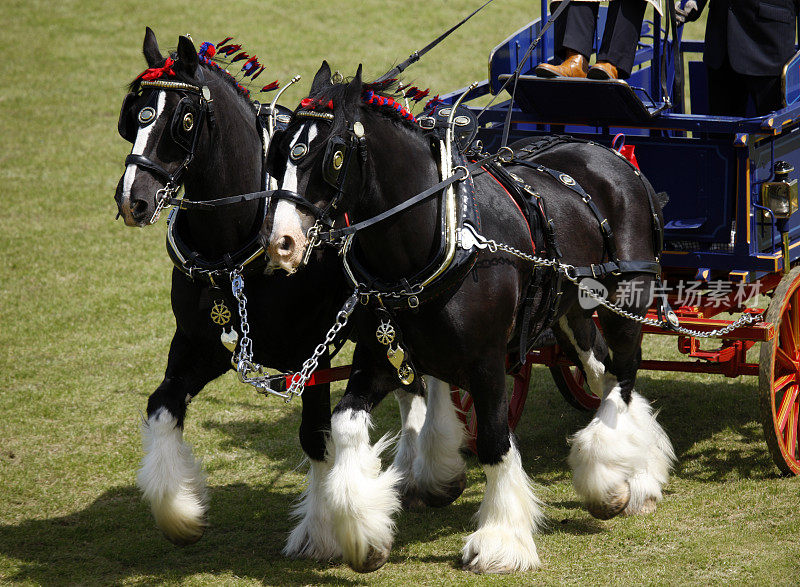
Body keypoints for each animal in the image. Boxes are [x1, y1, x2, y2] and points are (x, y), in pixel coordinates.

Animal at [260, 62, 676, 572]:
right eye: (278, 151)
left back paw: (622, 481)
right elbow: (344, 424)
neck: (435, 238)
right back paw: (634, 472)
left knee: (625, 374)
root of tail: (612, 154)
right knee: (602, 368)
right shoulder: (383, 359)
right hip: (571, 310)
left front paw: (501, 540)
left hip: (626, 299)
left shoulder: (486, 362)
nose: (281, 242)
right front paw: (363, 534)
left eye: (333, 155)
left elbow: (496, 440)